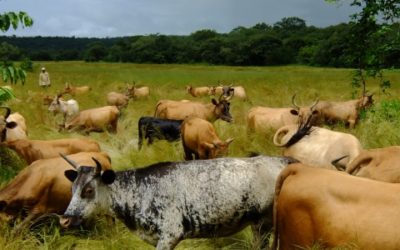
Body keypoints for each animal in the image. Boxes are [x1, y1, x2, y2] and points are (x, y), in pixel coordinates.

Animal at [59, 154, 296, 250]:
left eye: (88, 190)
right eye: (72, 189)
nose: (65, 220)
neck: (139, 190)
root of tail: (285, 160)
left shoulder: (170, 234)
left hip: (264, 224)